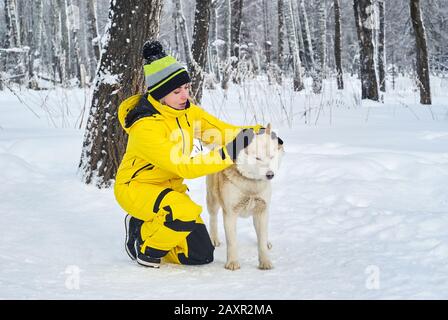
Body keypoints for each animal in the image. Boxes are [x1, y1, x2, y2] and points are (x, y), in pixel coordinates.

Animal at [206, 124, 284, 268]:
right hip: (212, 200)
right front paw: (232, 262)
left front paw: (265, 261)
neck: (251, 186)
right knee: (213, 218)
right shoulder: (230, 213)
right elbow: (232, 242)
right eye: (257, 158)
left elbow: (262, 241)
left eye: (271, 157)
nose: (270, 175)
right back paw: (214, 239)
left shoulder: (262, 210)